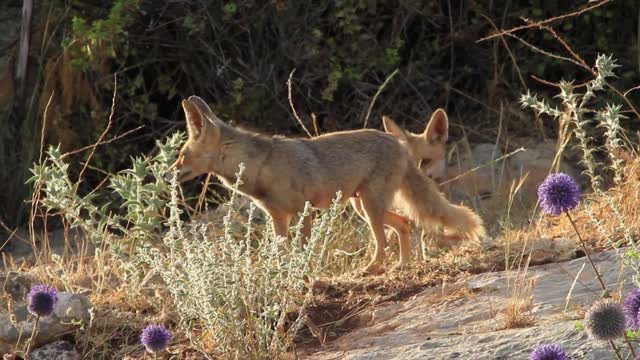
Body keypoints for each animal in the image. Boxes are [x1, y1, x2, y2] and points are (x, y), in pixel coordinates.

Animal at [170, 96, 484, 276]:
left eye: (182, 155)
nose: (169, 175)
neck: (262, 168)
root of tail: (399, 144)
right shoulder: (277, 217)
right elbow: (282, 253)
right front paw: (282, 277)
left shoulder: (303, 212)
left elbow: (303, 251)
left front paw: (306, 276)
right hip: (362, 207)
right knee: (405, 224)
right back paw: (403, 266)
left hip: (369, 208)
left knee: (383, 240)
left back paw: (372, 268)